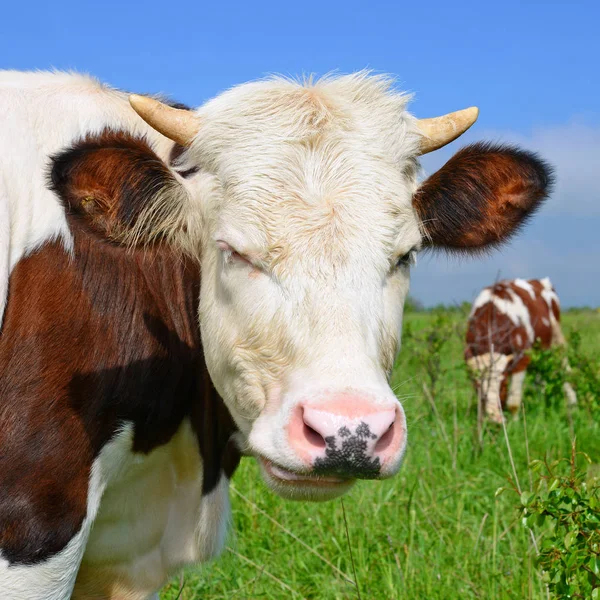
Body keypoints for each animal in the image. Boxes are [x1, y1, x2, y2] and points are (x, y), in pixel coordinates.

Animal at [464, 278, 576, 422]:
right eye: (477, 386)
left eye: (503, 384)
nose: (495, 419)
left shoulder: (522, 358)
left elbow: (513, 402)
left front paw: (516, 423)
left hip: (556, 336)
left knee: (564, 366)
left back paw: (573, 402)